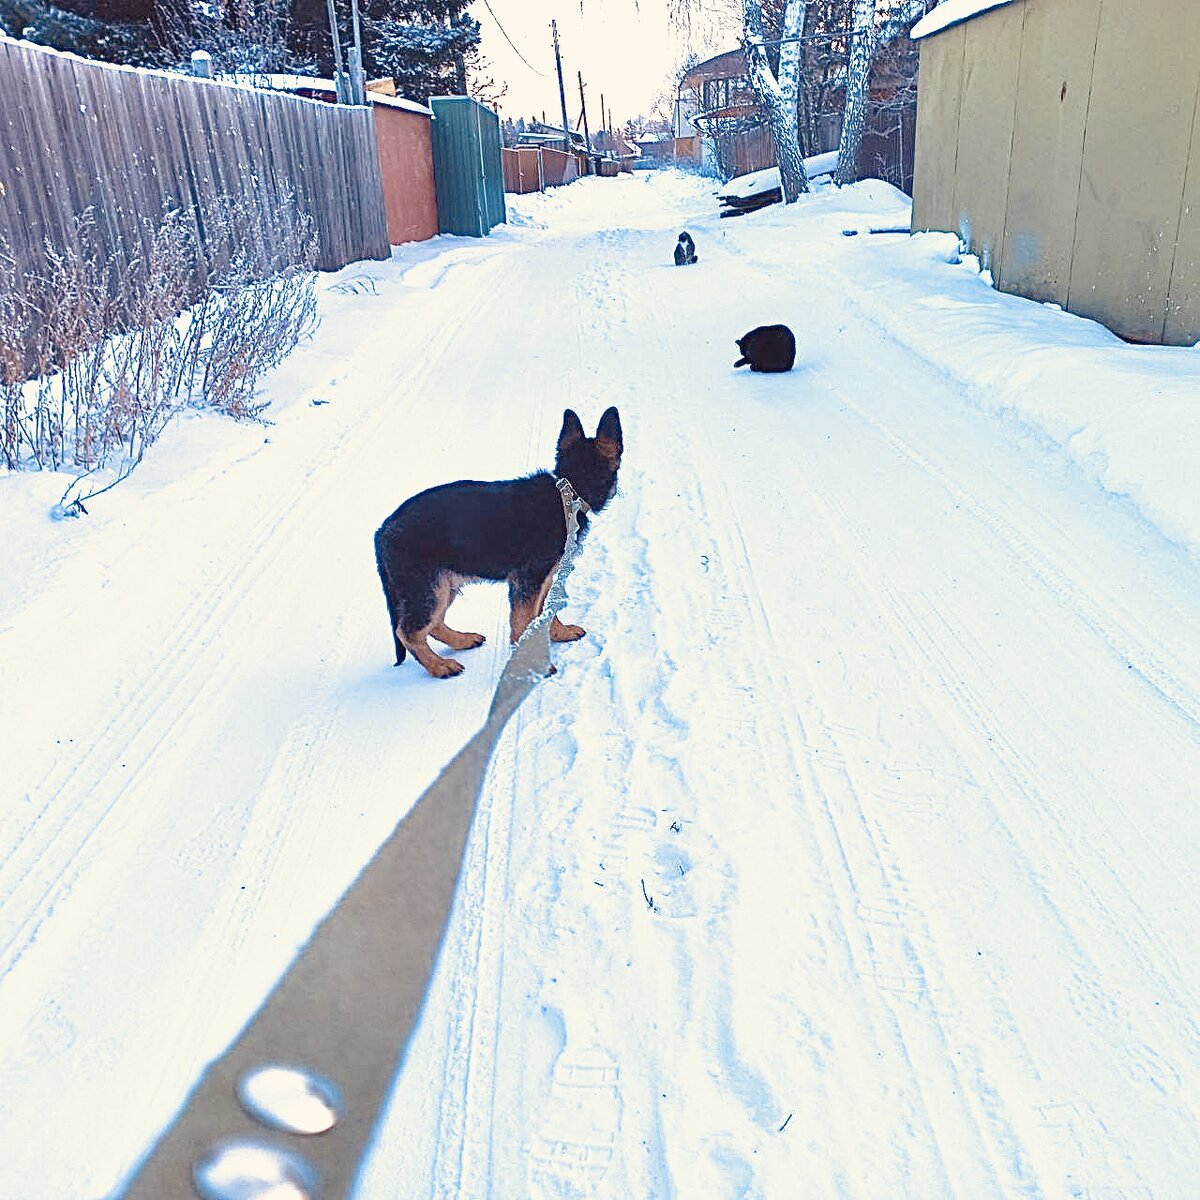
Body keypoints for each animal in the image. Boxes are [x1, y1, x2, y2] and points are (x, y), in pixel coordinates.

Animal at [372, 410, 619, 676]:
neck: (568, 492)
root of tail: (382, 531)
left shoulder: (543, 579)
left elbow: (545, 613)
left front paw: (558, 633)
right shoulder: (528, 580)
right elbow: (524, 620)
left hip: (443, 584)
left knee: (433, 623)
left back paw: (462, 640)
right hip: (428, 588)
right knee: (408, 632)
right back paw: (440, 666)